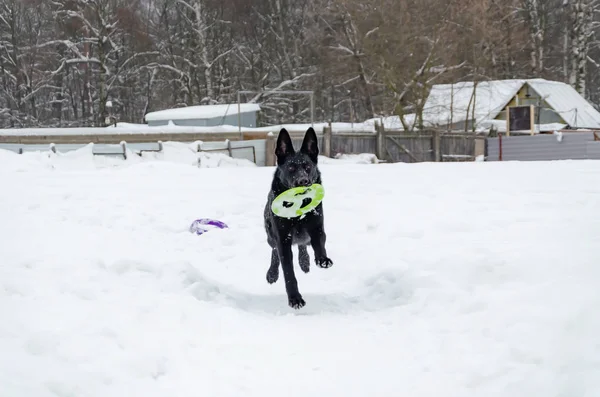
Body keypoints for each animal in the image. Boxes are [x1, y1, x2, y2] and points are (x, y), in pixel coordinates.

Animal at [262, 125, 332, 308]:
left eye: (307, 167)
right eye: (291, 168)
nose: (303, 181)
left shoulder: (317, 228)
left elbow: (319, 244)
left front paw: (322, 259)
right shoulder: (282, 239)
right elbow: (288, 272)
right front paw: (295, 298)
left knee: (303, 244)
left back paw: (305, 261)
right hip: (270, 235)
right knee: (274, 250)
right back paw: (272, 273)